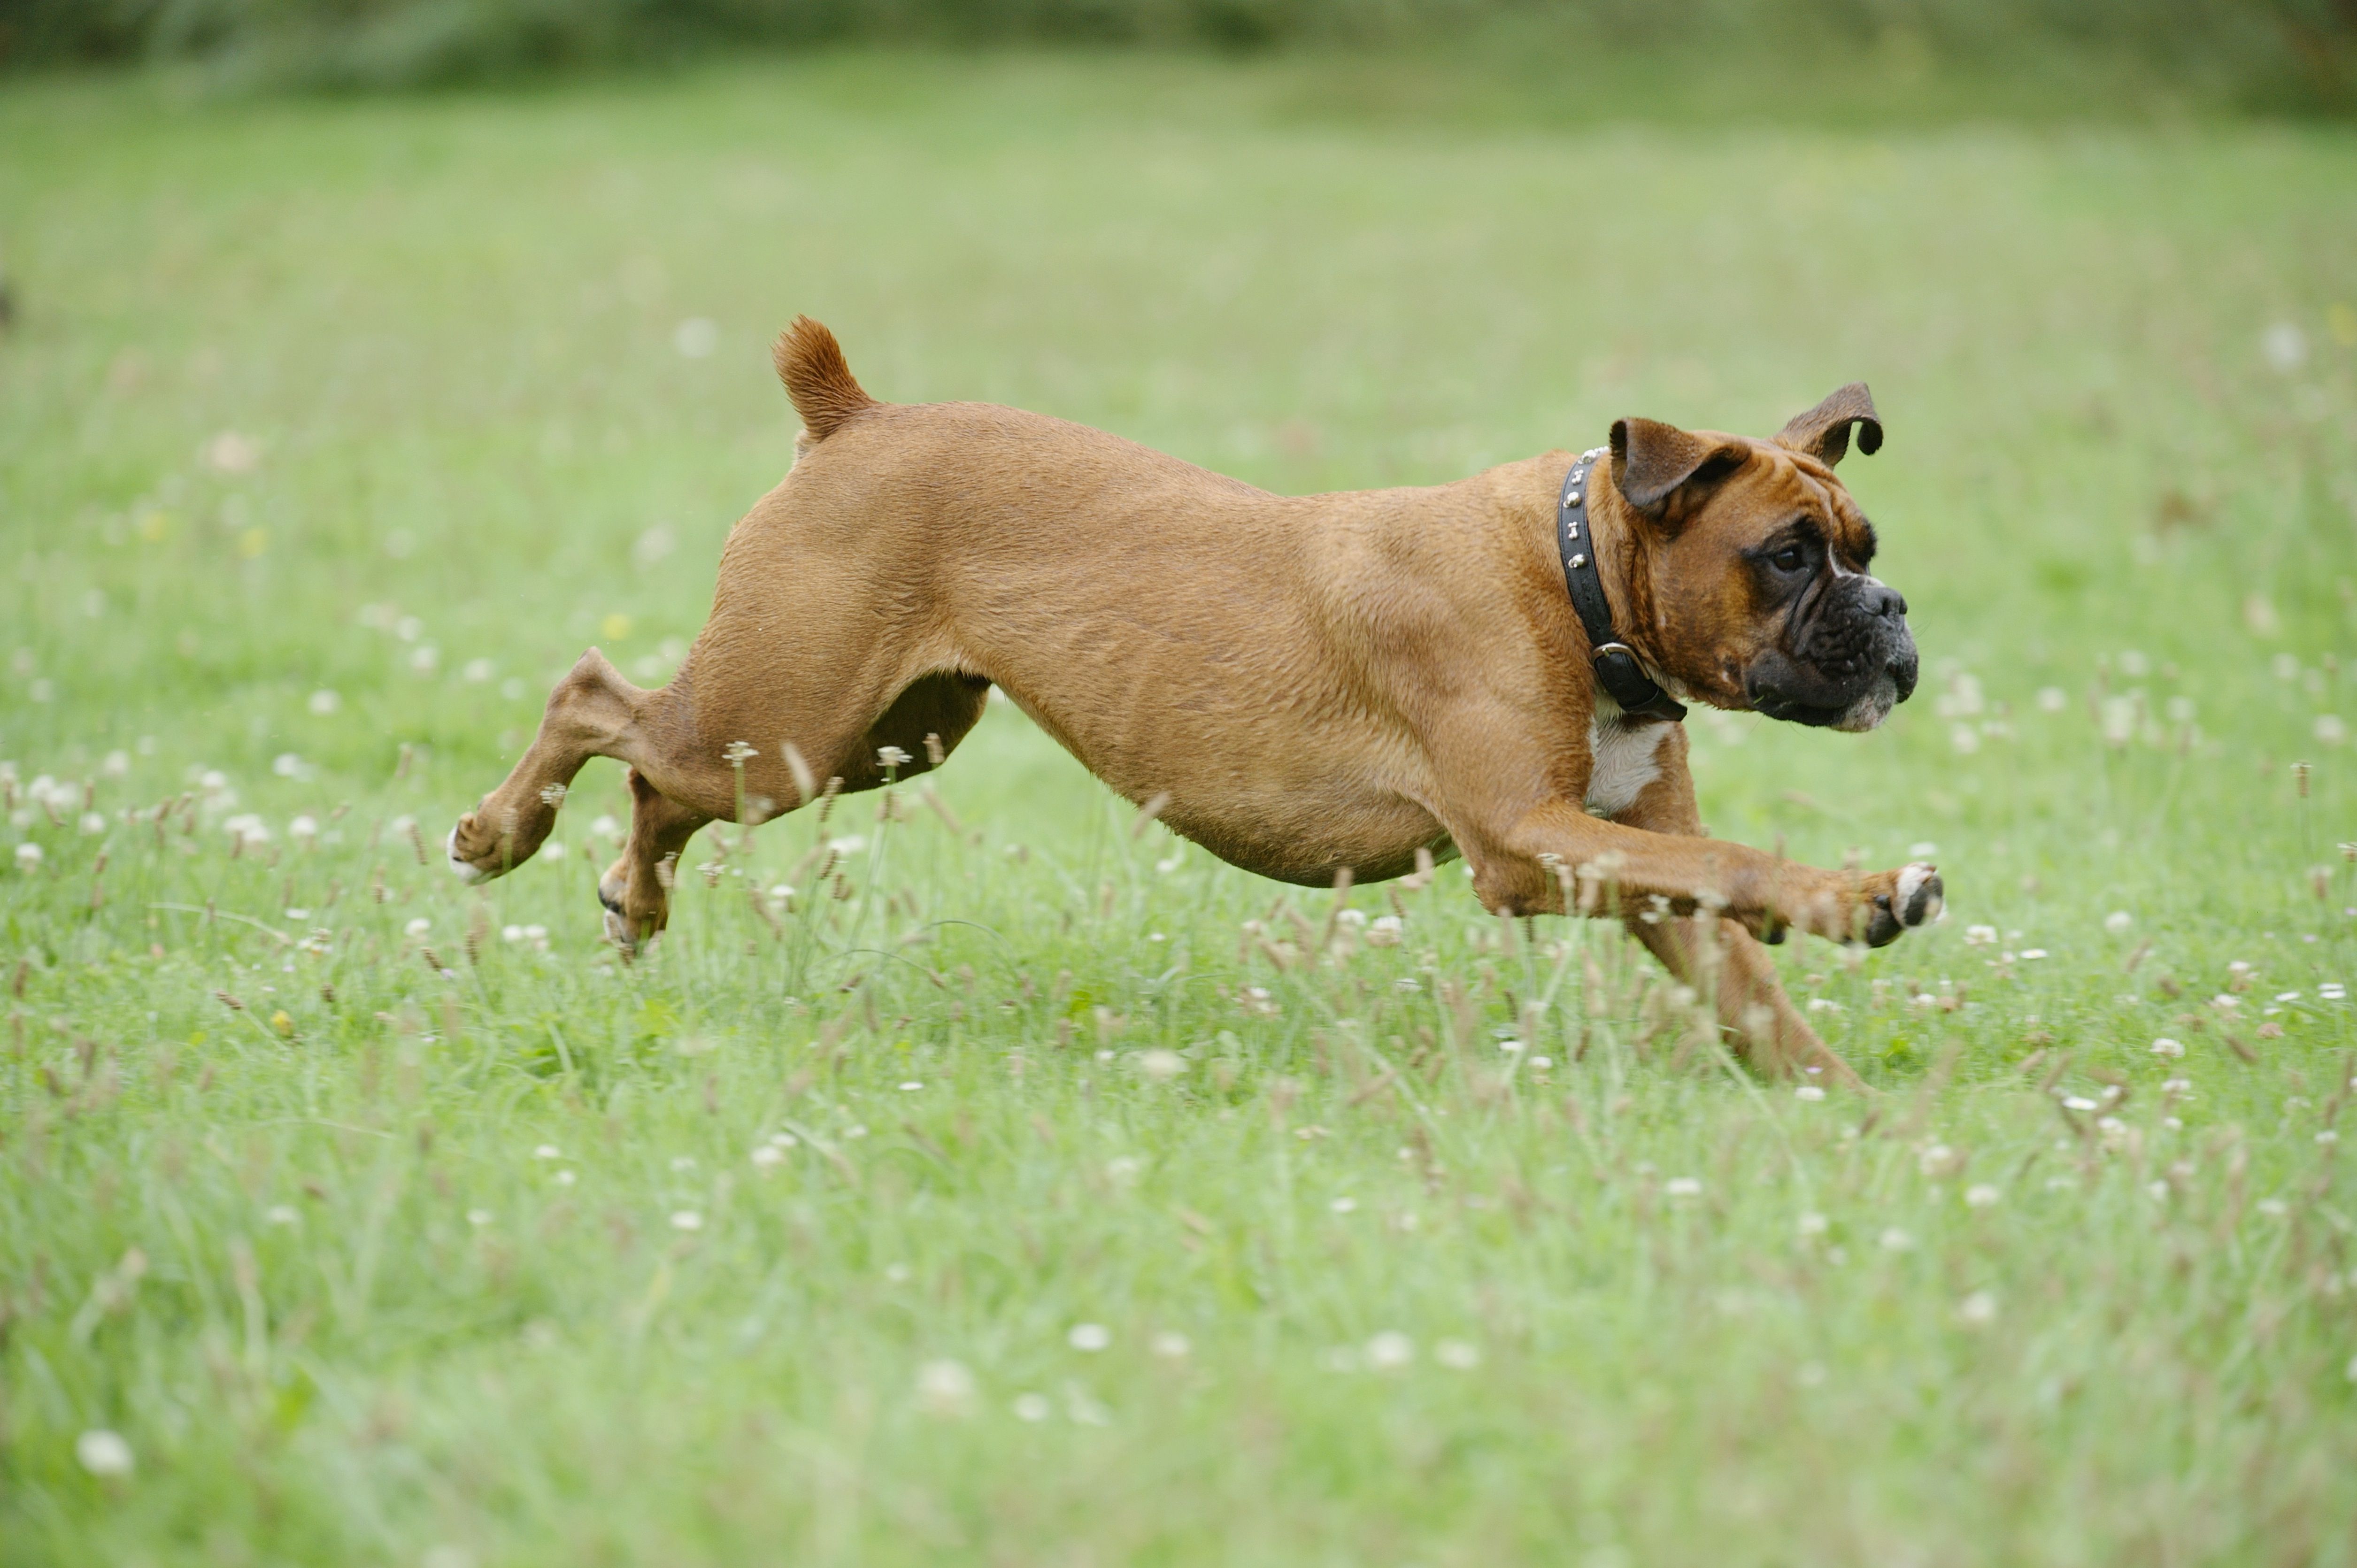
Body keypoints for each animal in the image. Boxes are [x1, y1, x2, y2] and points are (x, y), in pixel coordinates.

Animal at [443, 318, 1933, 1075]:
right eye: (1786, 556)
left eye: (1863, 546)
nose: (1891, 616)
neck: (1577, 577)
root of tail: (856, 415)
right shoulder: (1527, 847)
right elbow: (1742, 863)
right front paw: (1861, 892)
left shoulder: (1629, 859)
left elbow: (1745, 968)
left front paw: (1852, 1117)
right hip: (786, 727)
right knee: (595, 700)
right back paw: (499, 833)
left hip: (872, 741)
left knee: (653, 784)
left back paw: (632, 904)